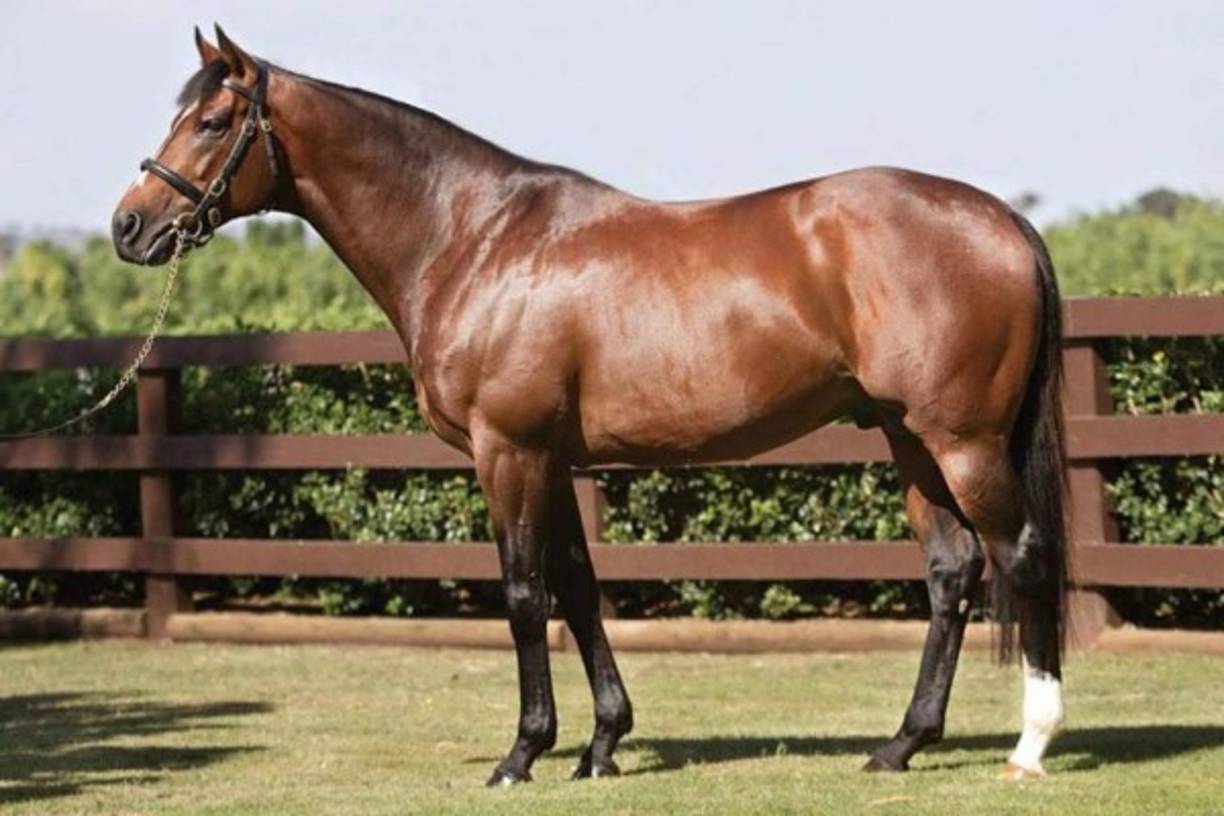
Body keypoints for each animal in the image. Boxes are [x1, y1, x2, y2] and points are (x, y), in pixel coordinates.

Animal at [113, 26, 1068, 785]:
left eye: (211, 122)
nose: (130, 226)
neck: (472, 239)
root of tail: (1002, 221)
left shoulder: (507, 451)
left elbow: (523, 593)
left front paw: (522, 753)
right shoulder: (554, 457)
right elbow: (576, 586)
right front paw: (602, 745)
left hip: (963, 442)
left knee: (1020, 557)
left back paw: (1030, 744)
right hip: (909, 439)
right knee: (952, 571)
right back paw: (900, 745)